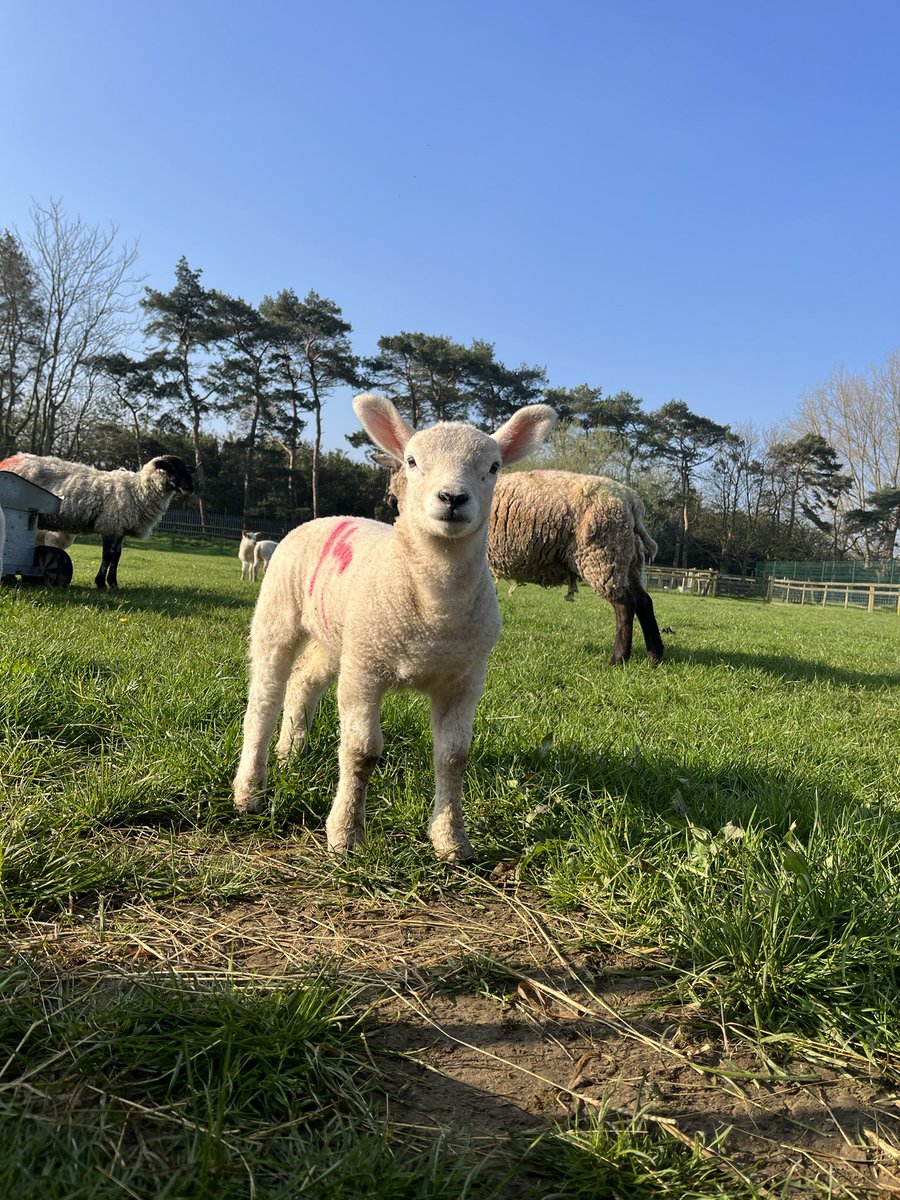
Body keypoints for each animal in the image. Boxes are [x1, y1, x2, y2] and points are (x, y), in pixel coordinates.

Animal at [0, 453, 194, 588]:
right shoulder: (110, 525)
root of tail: (11, 460)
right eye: (172, 468)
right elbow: (107, 556)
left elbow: (117, 557)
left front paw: (113, 584)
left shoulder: (120, 530)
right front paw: (100, 582)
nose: (191, 487)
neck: (137, 490)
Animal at [232, 391, 556, 861]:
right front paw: (346, 835)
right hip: (279, 616)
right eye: (412, 461)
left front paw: (451, 840)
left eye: (494, 467)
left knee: (304, 679)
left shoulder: (465, 678)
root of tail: (324, 518)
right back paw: (249, 792)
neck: (434, 611)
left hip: (339, 639)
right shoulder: (366, 670)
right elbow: (362, 751)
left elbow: (454, 757)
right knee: (263, 700)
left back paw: (290, 752)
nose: (453, 497)